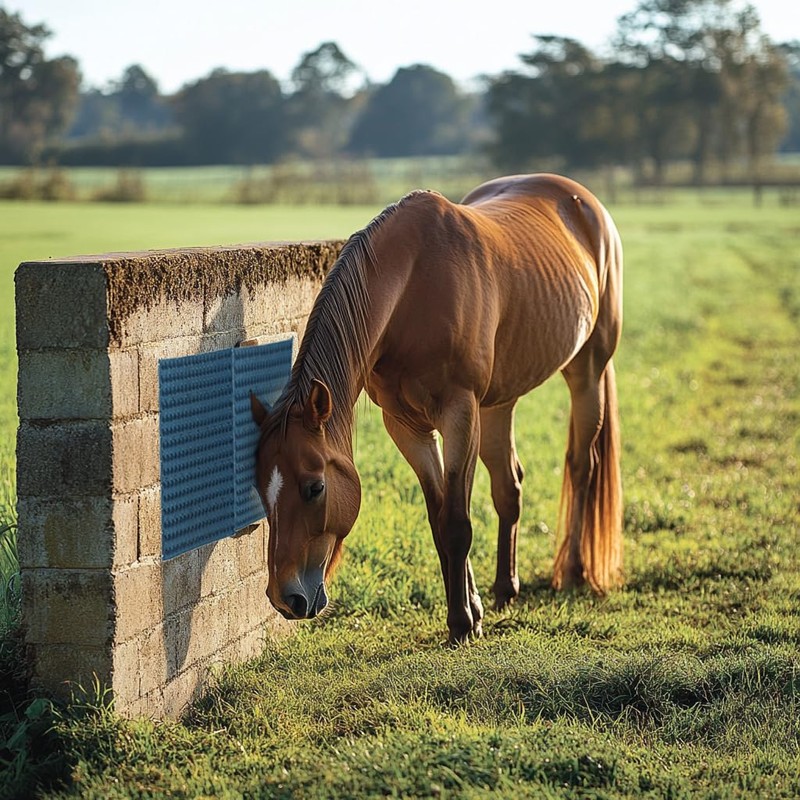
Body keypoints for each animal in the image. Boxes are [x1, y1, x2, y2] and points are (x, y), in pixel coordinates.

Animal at [250, 173, 623, 644]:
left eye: (314, 488)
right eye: (260, 489)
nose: (286, 598)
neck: (413, 288)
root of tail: (585, 202)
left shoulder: (459, 413)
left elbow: (457, 522)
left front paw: (462, 624)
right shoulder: (406, 426)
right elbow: (439, 516)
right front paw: (472, 610)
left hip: (586, 371)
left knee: (580, 466)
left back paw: (572, 572)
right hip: (499, 402)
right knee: (509, 486)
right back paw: (505, 589)